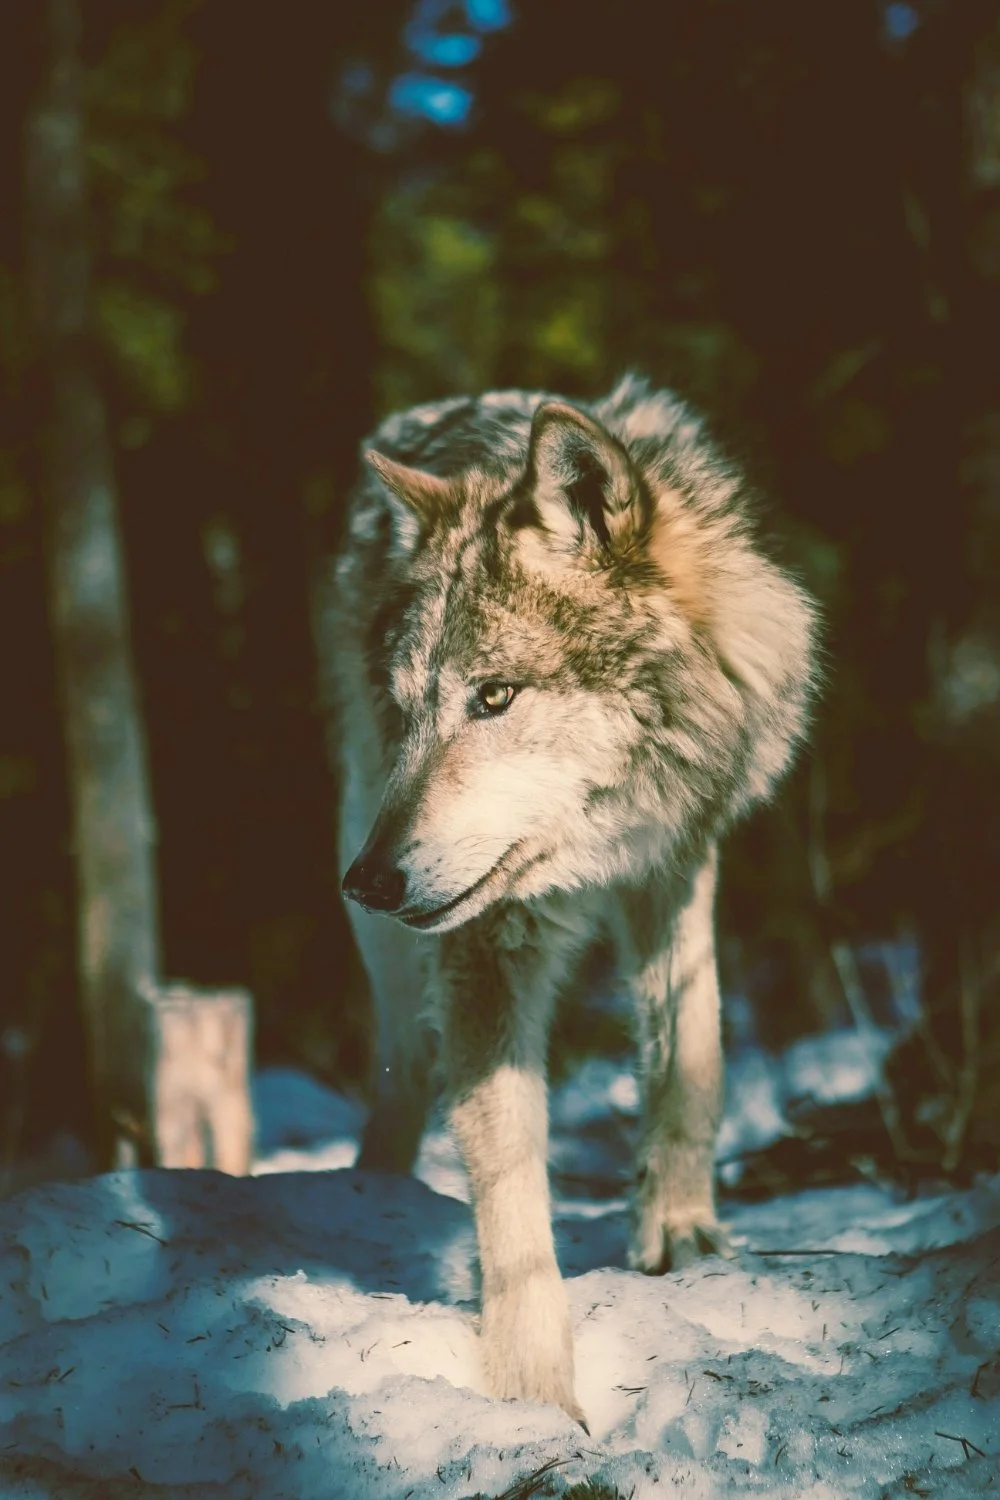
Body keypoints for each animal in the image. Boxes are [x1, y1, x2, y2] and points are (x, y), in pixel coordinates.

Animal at [321, 374, 818, 1426]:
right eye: (409, 709)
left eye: (495, 696)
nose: (369, 881)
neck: (602, 837)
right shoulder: (486, 938)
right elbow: (509, 1179)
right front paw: (532, 1396)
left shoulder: (678, 861)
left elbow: (692, 1053)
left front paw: (680, 1233)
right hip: (366, 862)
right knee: (402, 1064)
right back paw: (367, 1192)